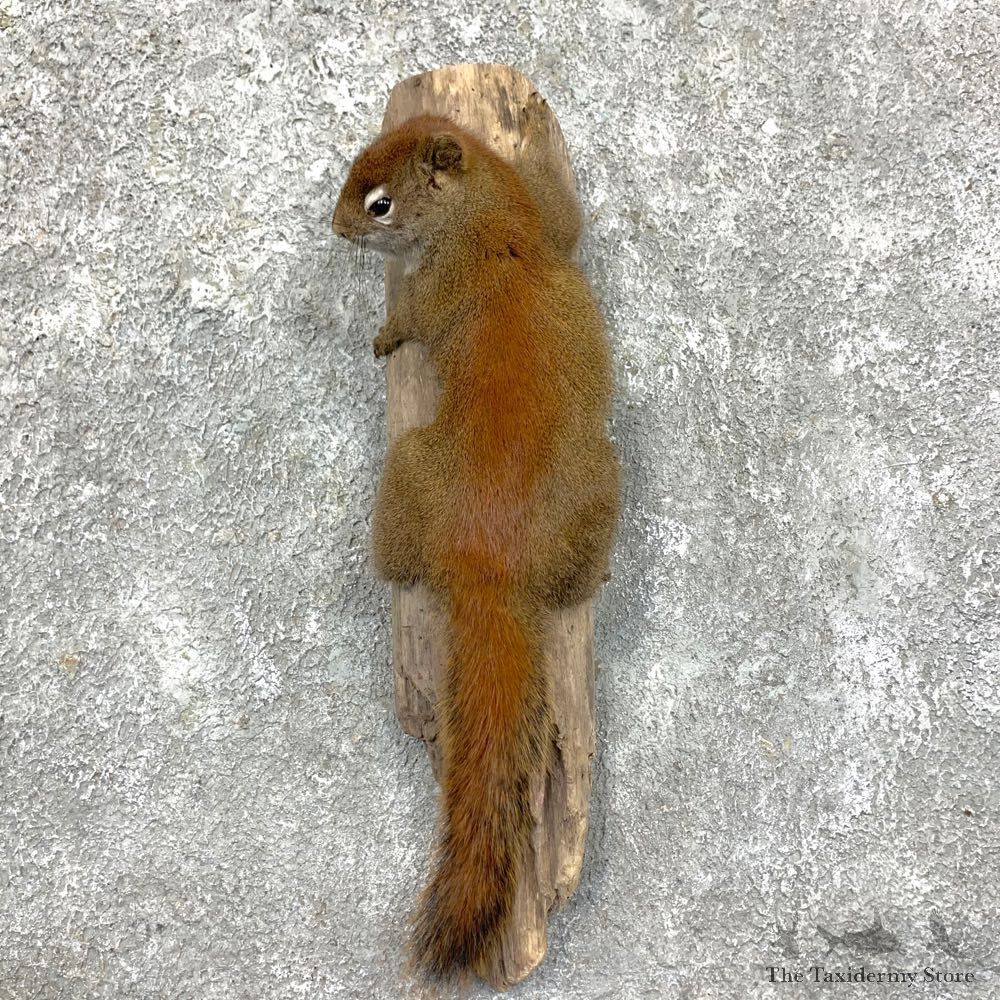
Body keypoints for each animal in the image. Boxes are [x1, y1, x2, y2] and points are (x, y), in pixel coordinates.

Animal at [332, 103, 620, 984]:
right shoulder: (547, 222)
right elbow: (571, 218)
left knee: (399, 561)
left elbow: (416, 318)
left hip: (413, 469)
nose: (335, 228)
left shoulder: (446, 283)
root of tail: (490, 567)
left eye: (380, 203)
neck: (491, 213)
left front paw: (384, 334)